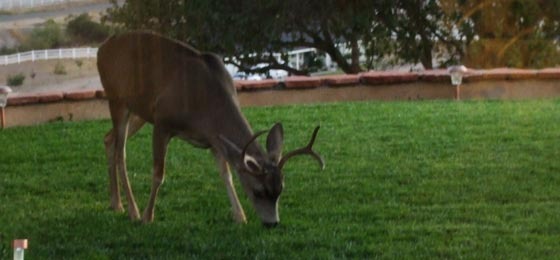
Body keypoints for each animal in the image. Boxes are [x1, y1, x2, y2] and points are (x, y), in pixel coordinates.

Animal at [96, 31, 324, 228]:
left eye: (280, 190)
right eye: (258, 191)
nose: (272, 223)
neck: (205, 105)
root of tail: (101, 48)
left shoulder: (214, 139)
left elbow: (226, 174)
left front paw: (240, 216)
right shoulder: (162, 123)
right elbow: (159, 174)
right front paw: (147, 217)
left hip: (140, 110)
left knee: (108, 138)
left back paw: (116, 203)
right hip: (117, 99)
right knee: (121, 153)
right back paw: (132, 211)